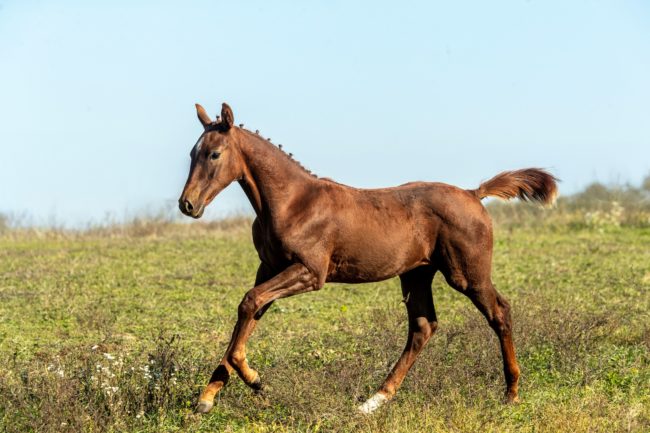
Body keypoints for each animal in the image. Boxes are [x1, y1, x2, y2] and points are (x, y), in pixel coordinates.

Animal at [178, 102, 556, 416]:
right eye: (193, 152)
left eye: (214, 154)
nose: (187, 204)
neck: (292, 202)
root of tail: (472, 193)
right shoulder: (269, 268)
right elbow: (248, 313)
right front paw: (208, 398)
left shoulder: (309, 272)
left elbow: (248, 304)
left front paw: (256, 381)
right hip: (416, 274)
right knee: (423, 327)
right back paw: (374, 401)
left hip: (466, 274)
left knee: (499, 312)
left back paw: (511, 392)